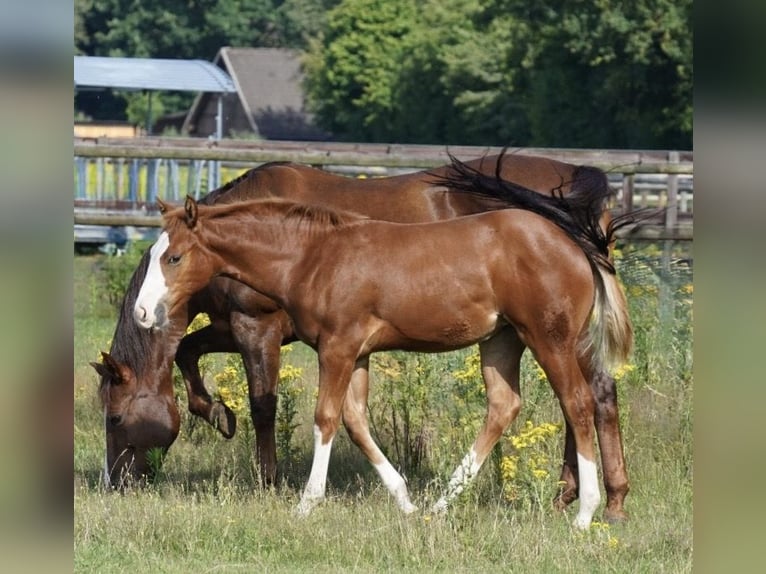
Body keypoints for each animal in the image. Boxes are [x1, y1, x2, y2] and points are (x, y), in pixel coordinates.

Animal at [92, 152, 630, 522]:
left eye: (175, 256)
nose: (115, 483)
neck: (314, 254)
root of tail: (573, 240)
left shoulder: (299, 337)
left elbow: (304, 413)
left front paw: (294, 497)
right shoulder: (356, 351)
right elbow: (353, 419)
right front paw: (404, 499)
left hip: (550, 337)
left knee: (581, 401)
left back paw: (588, 509)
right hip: (502, 340)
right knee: (513, 405)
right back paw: (452, 502)